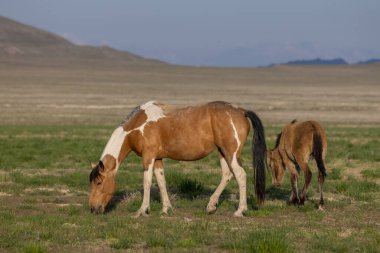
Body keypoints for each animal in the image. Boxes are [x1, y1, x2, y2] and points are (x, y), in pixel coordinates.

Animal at [89, 101, 268, 217]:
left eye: (98, 182)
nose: (93, 208)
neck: (138, 126)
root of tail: (241, 111)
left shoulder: (148, 157)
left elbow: (147, 182)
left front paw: (142, 210)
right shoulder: (158, 159)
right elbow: (161, 182)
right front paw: (165, 209)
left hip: (231, 153)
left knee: (240, 175)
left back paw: (240, 210)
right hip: (223, 153)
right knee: (227, 175)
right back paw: (211, 206)